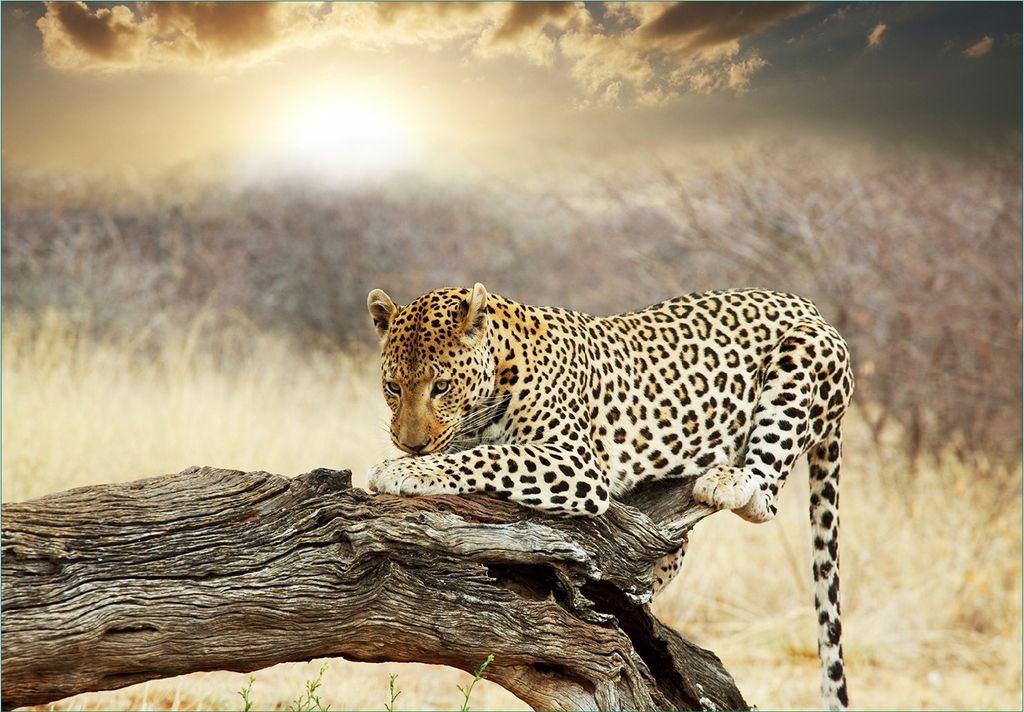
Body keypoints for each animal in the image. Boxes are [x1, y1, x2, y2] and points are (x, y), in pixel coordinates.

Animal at [365, 282, 854, 710]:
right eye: (392, 387)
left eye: (441, 387)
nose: (410, 444)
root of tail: (810, 305)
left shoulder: (574, 460)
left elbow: (488, 457)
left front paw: (402, 471)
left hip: (801, 358)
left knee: (765, 496)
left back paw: (729, 480)